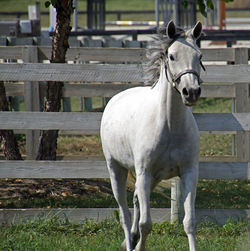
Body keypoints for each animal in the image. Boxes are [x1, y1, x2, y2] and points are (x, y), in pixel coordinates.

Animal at [100, 20, 203, 250]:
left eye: (200, 56)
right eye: (172, 56)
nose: (191, 92)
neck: (169, 126)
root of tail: (115, 99)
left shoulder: (189, 172)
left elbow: (190, 222)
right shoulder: (144, 174)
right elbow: (146, 224)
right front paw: (139, 244)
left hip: (151, 178)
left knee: (136, 201)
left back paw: (131, 237)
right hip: (116, 170)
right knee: (125, 214)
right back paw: (130, 242)